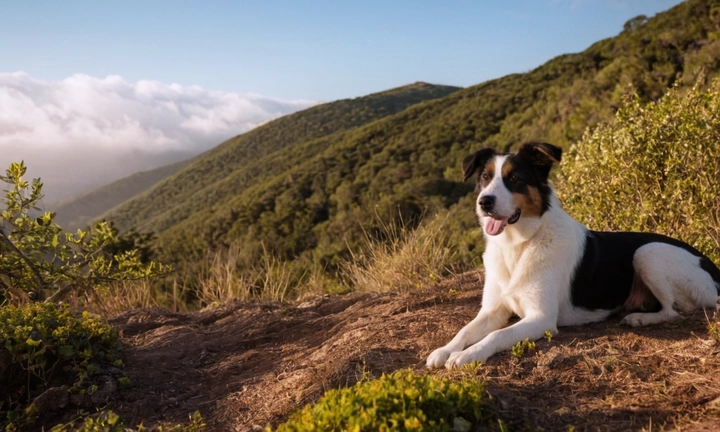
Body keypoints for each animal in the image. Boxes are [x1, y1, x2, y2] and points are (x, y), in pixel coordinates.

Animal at [428, 142, 720, 368]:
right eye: (485, 178)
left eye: (515, 178)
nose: (484, 202)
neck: (520, 244)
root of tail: (714, 269)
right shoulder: (493, 310)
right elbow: (465, 330)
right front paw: (445, 350)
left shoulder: (541, 319)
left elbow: (496, 336)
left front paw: (468, 355)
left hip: (648, 252)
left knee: (673, 311)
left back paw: (640, 318)